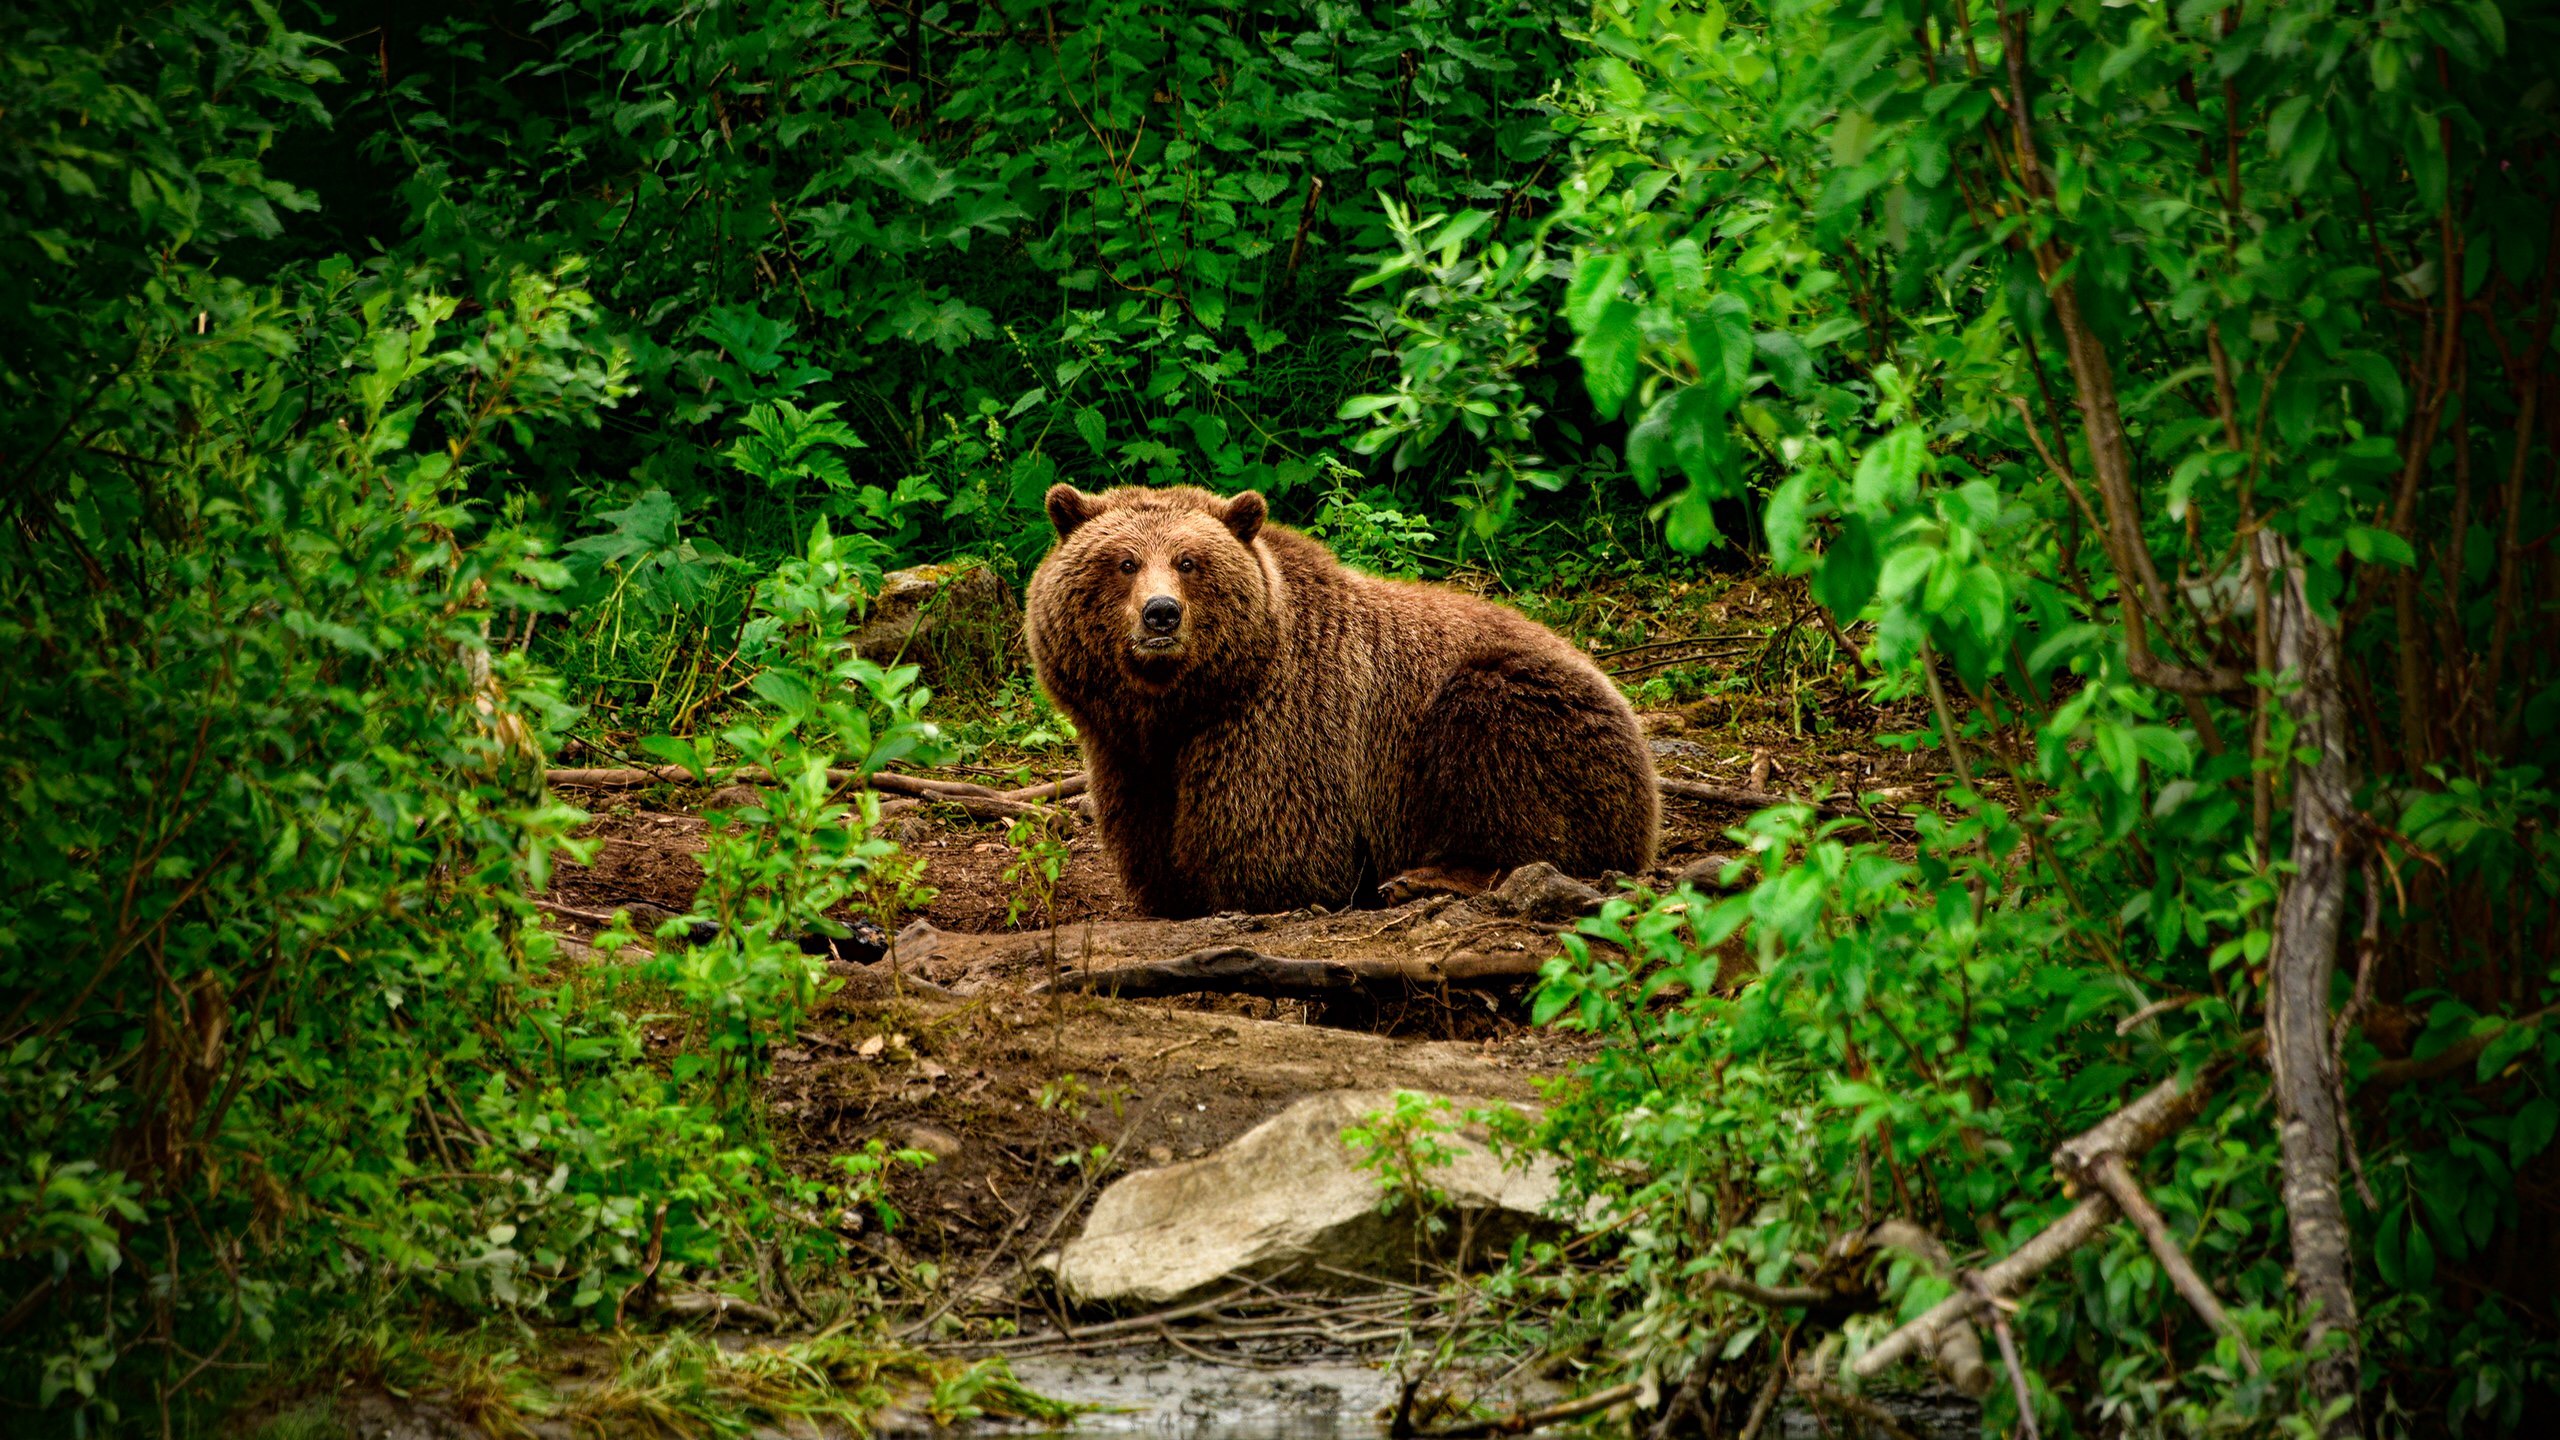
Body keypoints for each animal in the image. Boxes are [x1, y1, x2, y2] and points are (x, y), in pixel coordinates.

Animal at [1018, 479, 1658, 907]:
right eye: (1124, 561)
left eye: (1189, 561)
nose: (1161, 614)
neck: (1185, 702)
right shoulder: (1126, 750)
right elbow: (1147, 836)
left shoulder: (1283, 725)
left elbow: (1274, 845)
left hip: (1523, 707)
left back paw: (1422, 877)